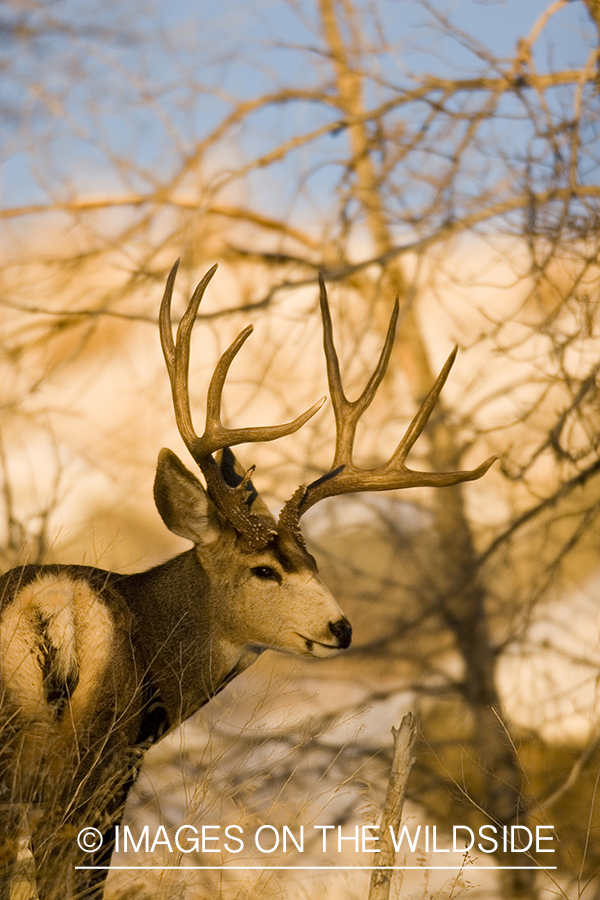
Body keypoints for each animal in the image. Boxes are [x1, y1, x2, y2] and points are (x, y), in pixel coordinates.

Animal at [0, 262, 495, 899]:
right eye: (264, 569)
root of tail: (52, 615)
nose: (341, 629)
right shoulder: (123, 763)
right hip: (89, 762)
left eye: (315, 563)